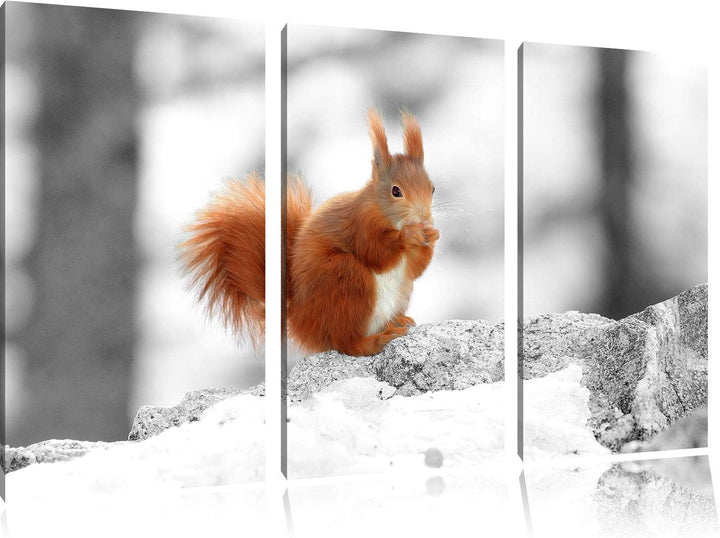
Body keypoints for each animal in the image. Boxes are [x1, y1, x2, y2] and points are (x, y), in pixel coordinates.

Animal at [180, 109, 439, 356]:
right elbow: (375, 252)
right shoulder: (360, 223)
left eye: (432, 188)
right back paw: (377, 340)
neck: (386, 214)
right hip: (345, 280)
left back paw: (398, 321)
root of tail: (300, 320)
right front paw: (410, 234)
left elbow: (414, 269)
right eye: (396, 191)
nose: (424, 218)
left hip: (400, 292)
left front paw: (432, 236)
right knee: (347, 343)